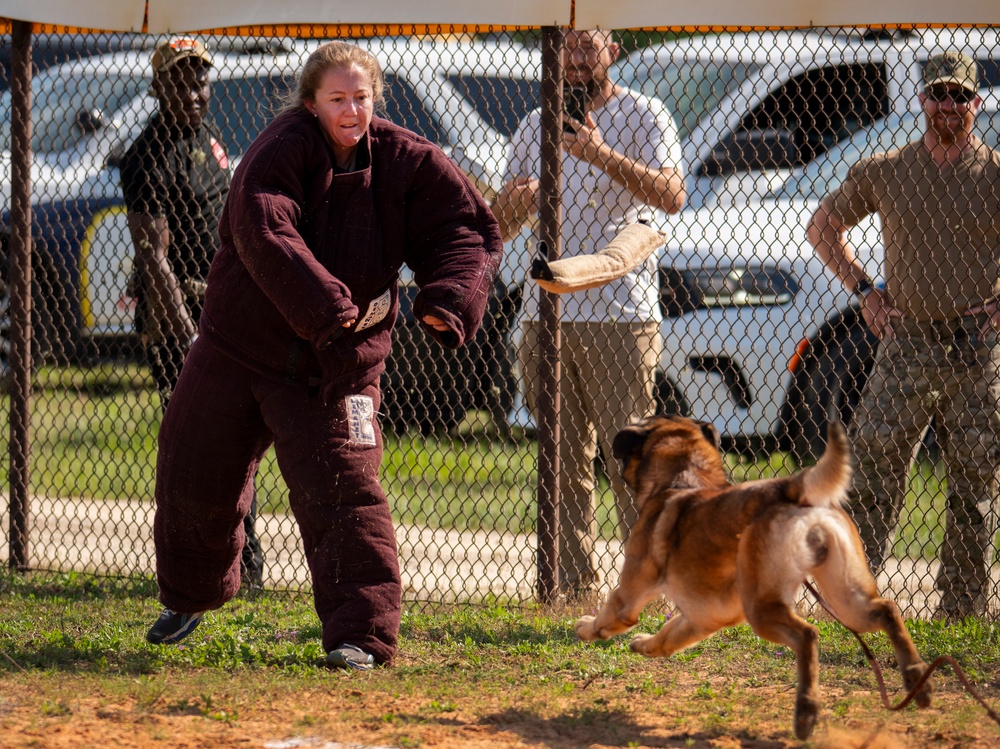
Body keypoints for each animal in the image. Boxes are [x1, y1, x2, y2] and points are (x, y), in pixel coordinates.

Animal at [576, 412, 932, 740]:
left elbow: (608, 617)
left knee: (807, 635)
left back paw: (806, 712)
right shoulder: (701, 618)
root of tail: (789, 487)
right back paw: (917, 680)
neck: (685, 478)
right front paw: (644, 644)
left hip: (762, 609)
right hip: (847, 598)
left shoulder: (628, 597)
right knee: (887, 609)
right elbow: (666, 637)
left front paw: (586, 628)